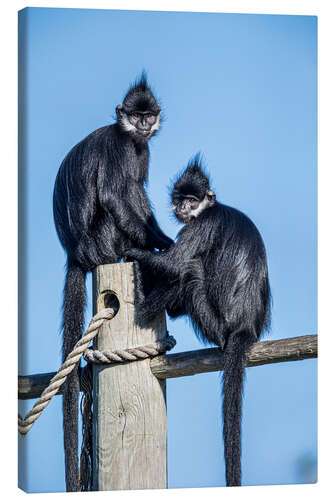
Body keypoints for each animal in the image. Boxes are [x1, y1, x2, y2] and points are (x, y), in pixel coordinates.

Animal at [53, 72, 172, 490]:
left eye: (148, 114)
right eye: (135, 116)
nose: (143, 125)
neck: (129, 135)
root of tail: (77, 254)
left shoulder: (141, 147)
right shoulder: (121, 147)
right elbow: (113, 195)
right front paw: (163, 244)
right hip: (105, 237)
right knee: (122, 193)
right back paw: (140, 251)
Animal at [124, 155, 270, 484]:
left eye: (192, 200)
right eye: (180, 199)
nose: (183, 208)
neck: (211, 208)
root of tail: (245, 327)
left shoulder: (203, 223)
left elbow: (174, 264)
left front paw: (134, 251)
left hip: (215, 325)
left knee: (189, 269)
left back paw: (143, 305)